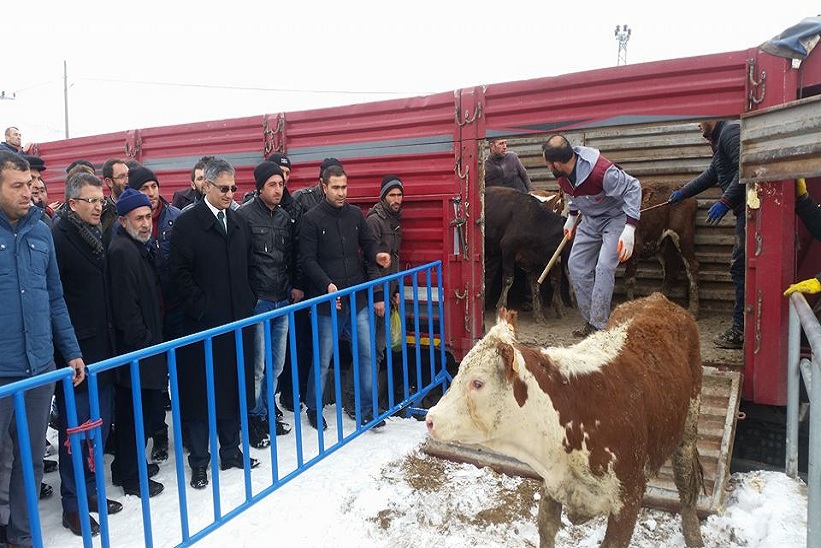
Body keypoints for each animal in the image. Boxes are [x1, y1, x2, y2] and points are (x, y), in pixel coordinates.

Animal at [426, 294, 700, 544]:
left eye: (478, 382)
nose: (430, 418)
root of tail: (658, 299)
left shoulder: (629, 497)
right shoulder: (553, 485)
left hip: (688, 429)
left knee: (686, 485)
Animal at [480, 186, 572, 324]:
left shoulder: (533, 260)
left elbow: (536, 284)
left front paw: (539, 314)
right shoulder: (508, 249)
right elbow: (508, 279)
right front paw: (501, 307)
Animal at [620, 182, 700, 314]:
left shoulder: (635, 247)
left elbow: (629, 279)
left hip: (684, 236)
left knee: (692, 266)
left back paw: (693, 308)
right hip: (663, 243)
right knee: (671, 267)